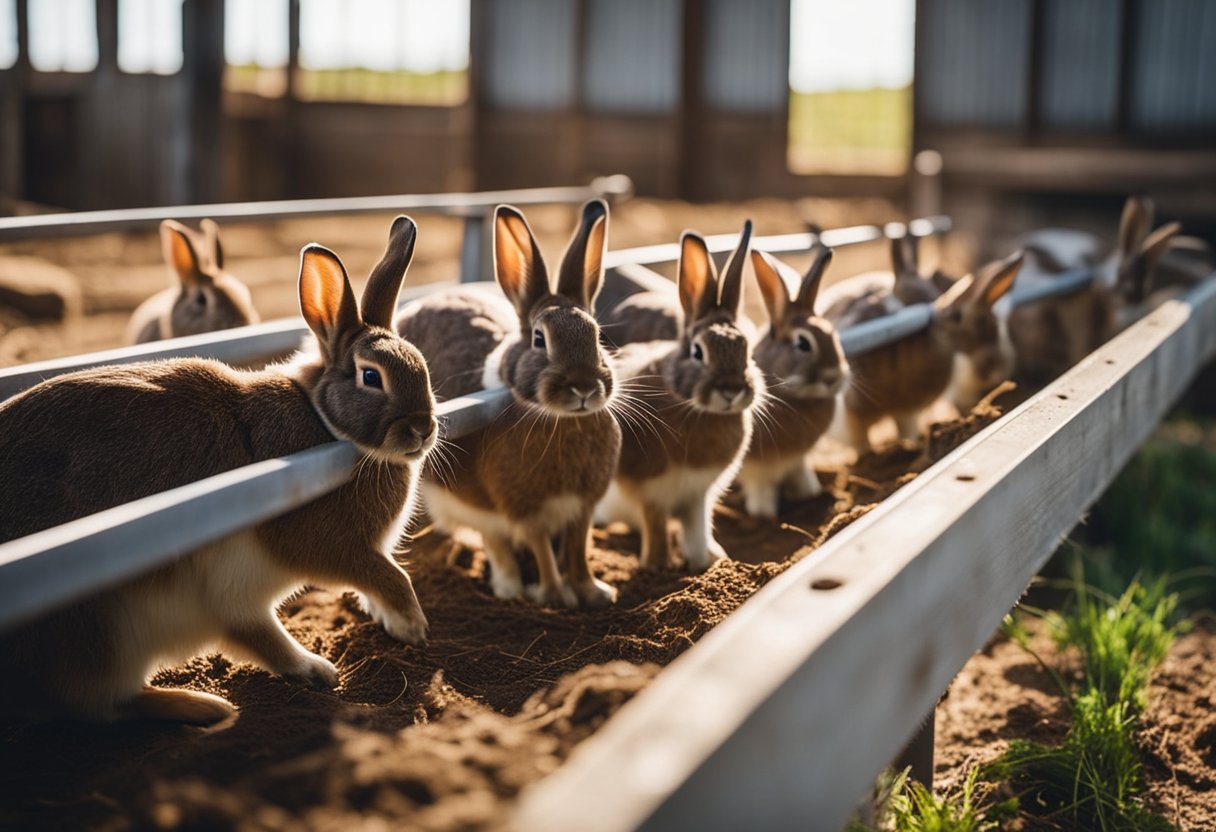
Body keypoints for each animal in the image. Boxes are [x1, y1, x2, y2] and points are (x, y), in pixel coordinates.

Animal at [397, 200, 621, 609]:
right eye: (539, 339)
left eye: (598, 337)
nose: (584, 388)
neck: (563, 421)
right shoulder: (524, 509)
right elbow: (541, 549)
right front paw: (552, 596)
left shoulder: (583, 508)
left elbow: (578, 548)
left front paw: (594, 592)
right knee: (494, 541)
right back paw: (510, 588)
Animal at [596, 222, 764, 571]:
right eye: (697, 352)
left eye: (747, 350)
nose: (731, 391)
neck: (693, 408)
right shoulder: (648, 491)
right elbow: (656, 526)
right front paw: (656, 568)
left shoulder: (698, 495)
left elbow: (697, 528)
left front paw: (708, 564)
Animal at [736, 243, 847, 518]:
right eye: (803, 343)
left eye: (832, 334)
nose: (834, 378)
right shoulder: (755, 470)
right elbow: (761, 488)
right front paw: (763, 514)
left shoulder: (797, 459)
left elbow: (799, 473)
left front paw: (810, 493)